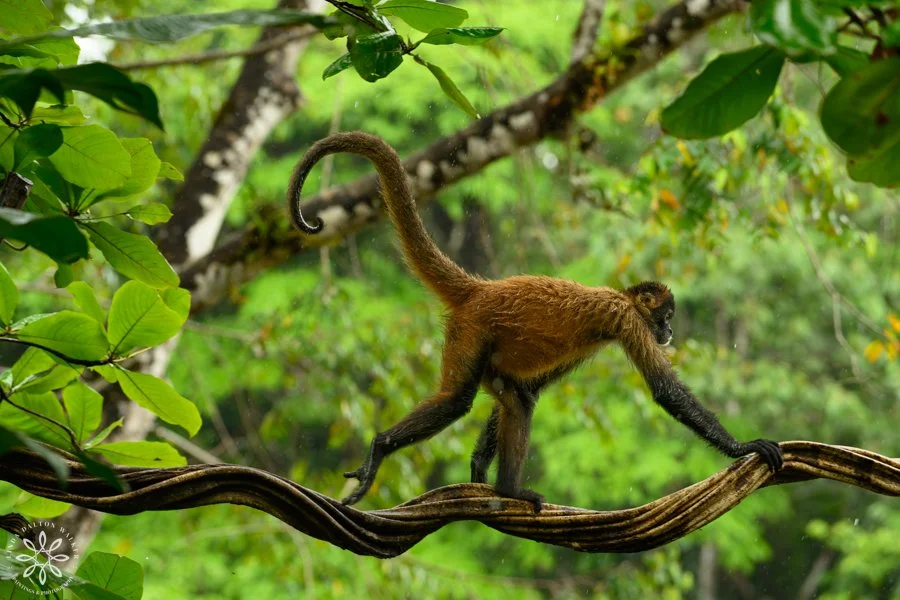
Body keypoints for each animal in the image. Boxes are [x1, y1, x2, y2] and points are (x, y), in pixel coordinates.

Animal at [287, 131, 783, 511]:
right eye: (666, 316)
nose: (670, 332)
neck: (621, 295)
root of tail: (481, 288)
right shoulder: (625, 319)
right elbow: (665, 391)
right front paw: (744, 448)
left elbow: (531, 388)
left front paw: (477, 466)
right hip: (471, 330)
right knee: (457, 401)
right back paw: (389, 449)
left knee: (517, 397)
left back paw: (498, 482)